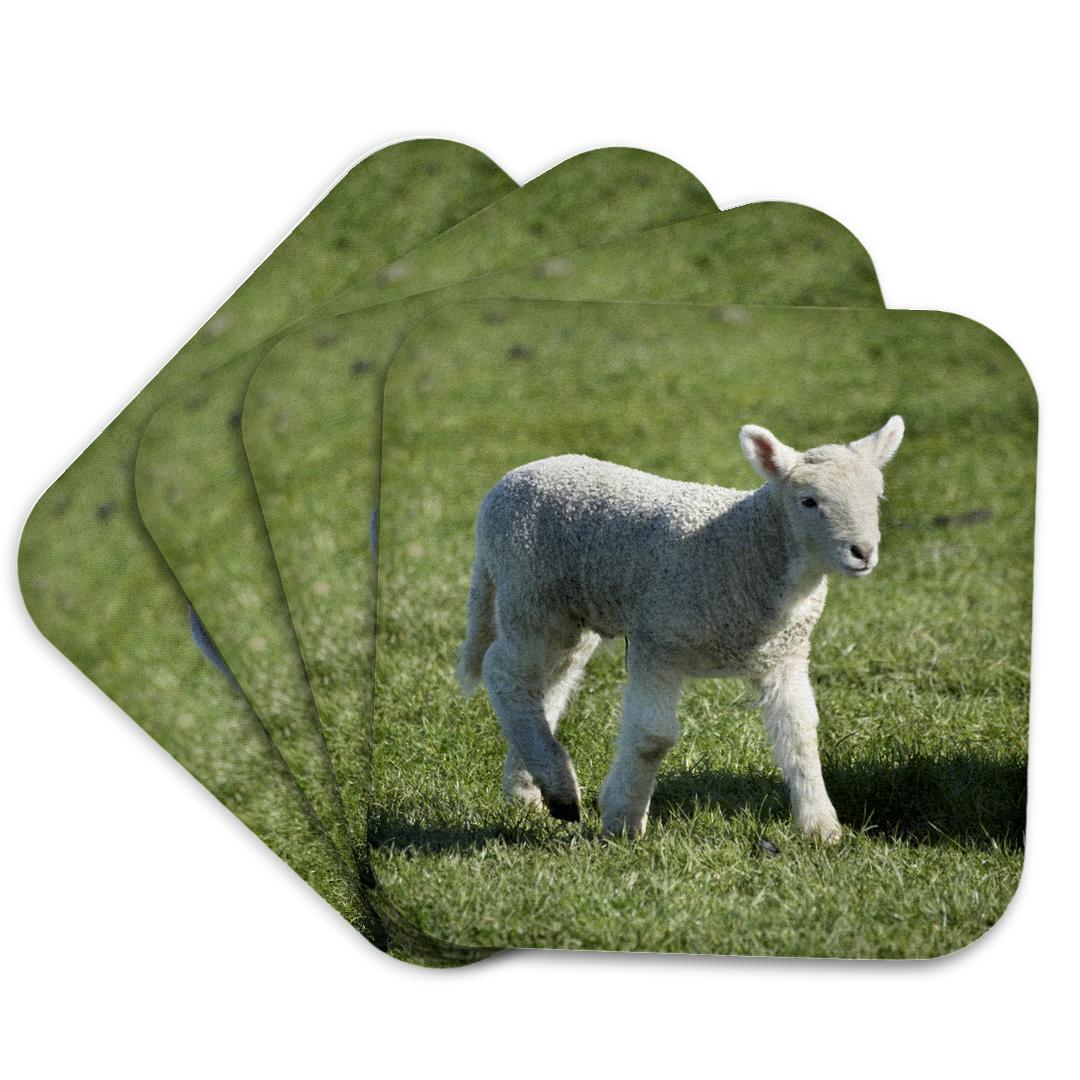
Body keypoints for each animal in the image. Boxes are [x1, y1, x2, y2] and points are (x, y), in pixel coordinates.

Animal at [457, 416, 905, 841]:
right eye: (808, 501)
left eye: (878, 497)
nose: (863, 552)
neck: (745, 545)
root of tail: (511, 479)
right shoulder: (657, 642)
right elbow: (653, 737)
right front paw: (622, 820)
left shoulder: (785, 653)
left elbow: (799, 733)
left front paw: (820, 828)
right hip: (530, 594)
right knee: (504, 671)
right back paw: (559, 789)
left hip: (568, 613)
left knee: (546, 686)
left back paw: (533, 790)